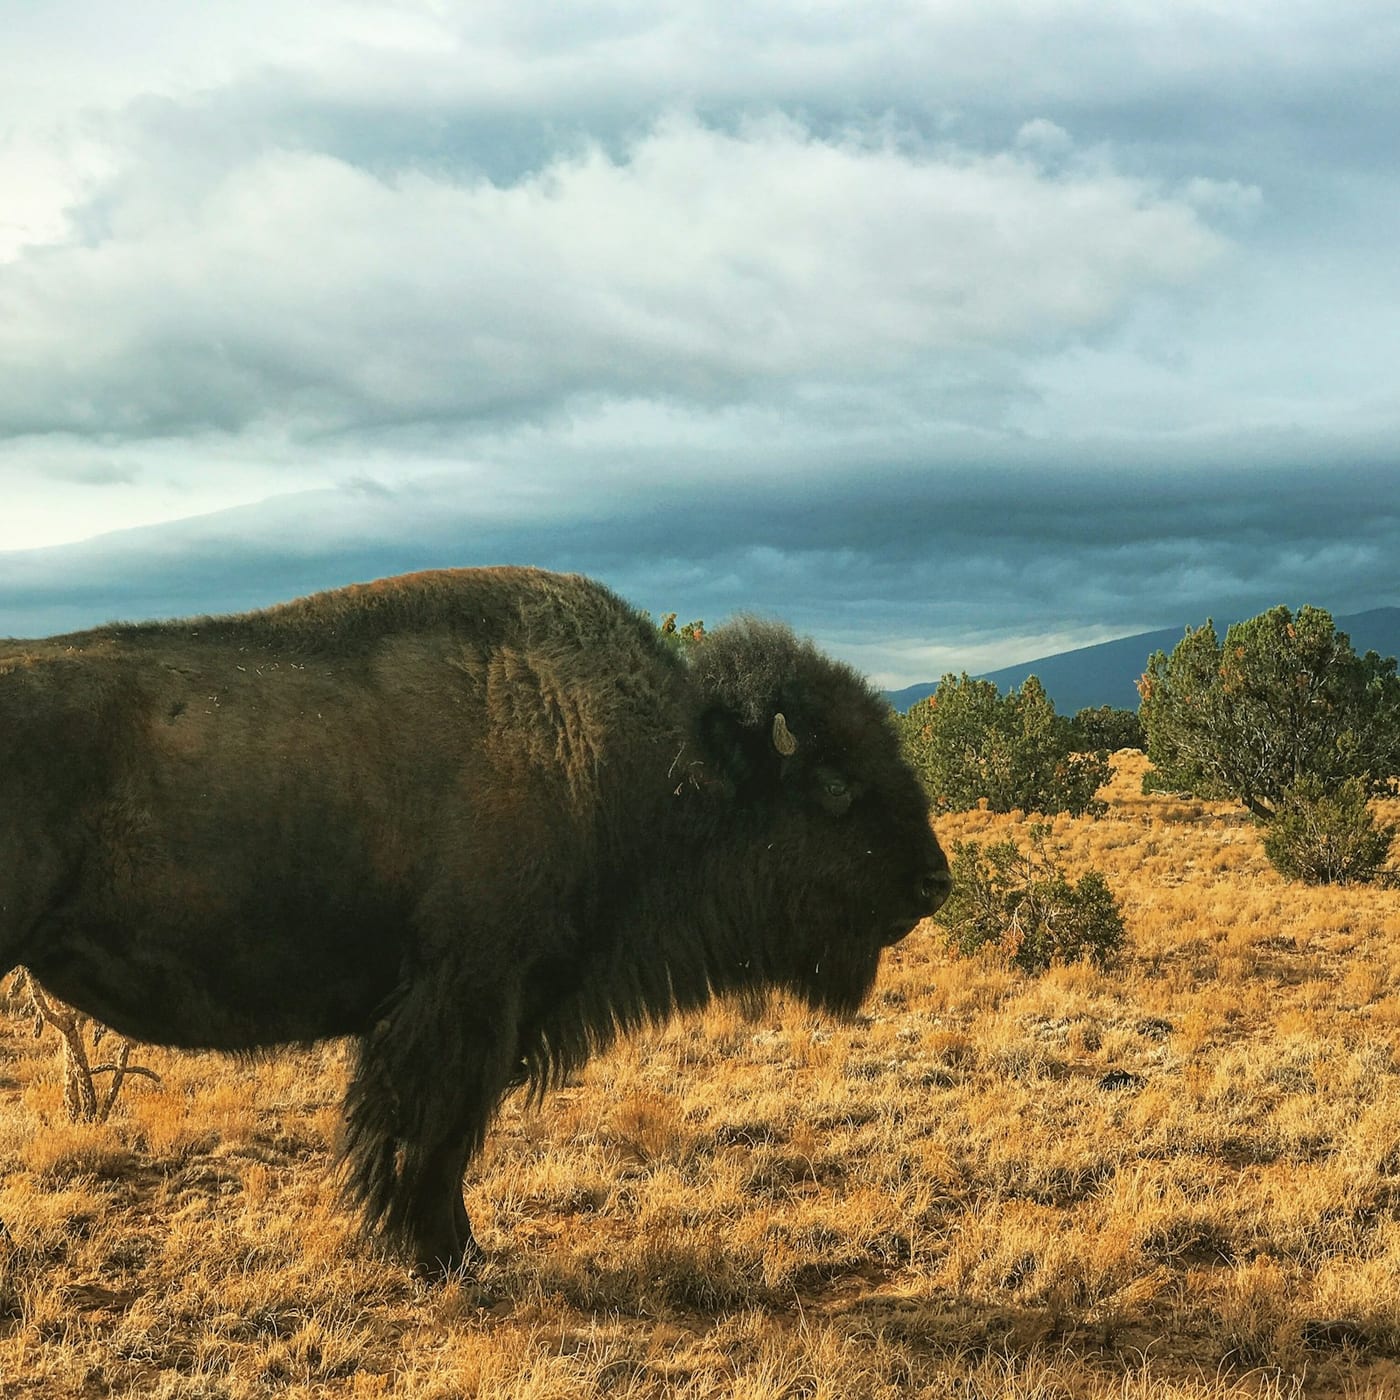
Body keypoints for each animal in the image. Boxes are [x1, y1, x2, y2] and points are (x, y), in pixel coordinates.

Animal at [0, 568, 951, 1273]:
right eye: (834, 783)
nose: (933, 883)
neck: (646, 758)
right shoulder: (466, 1004)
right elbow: (434, 1137)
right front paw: (445, 1256)